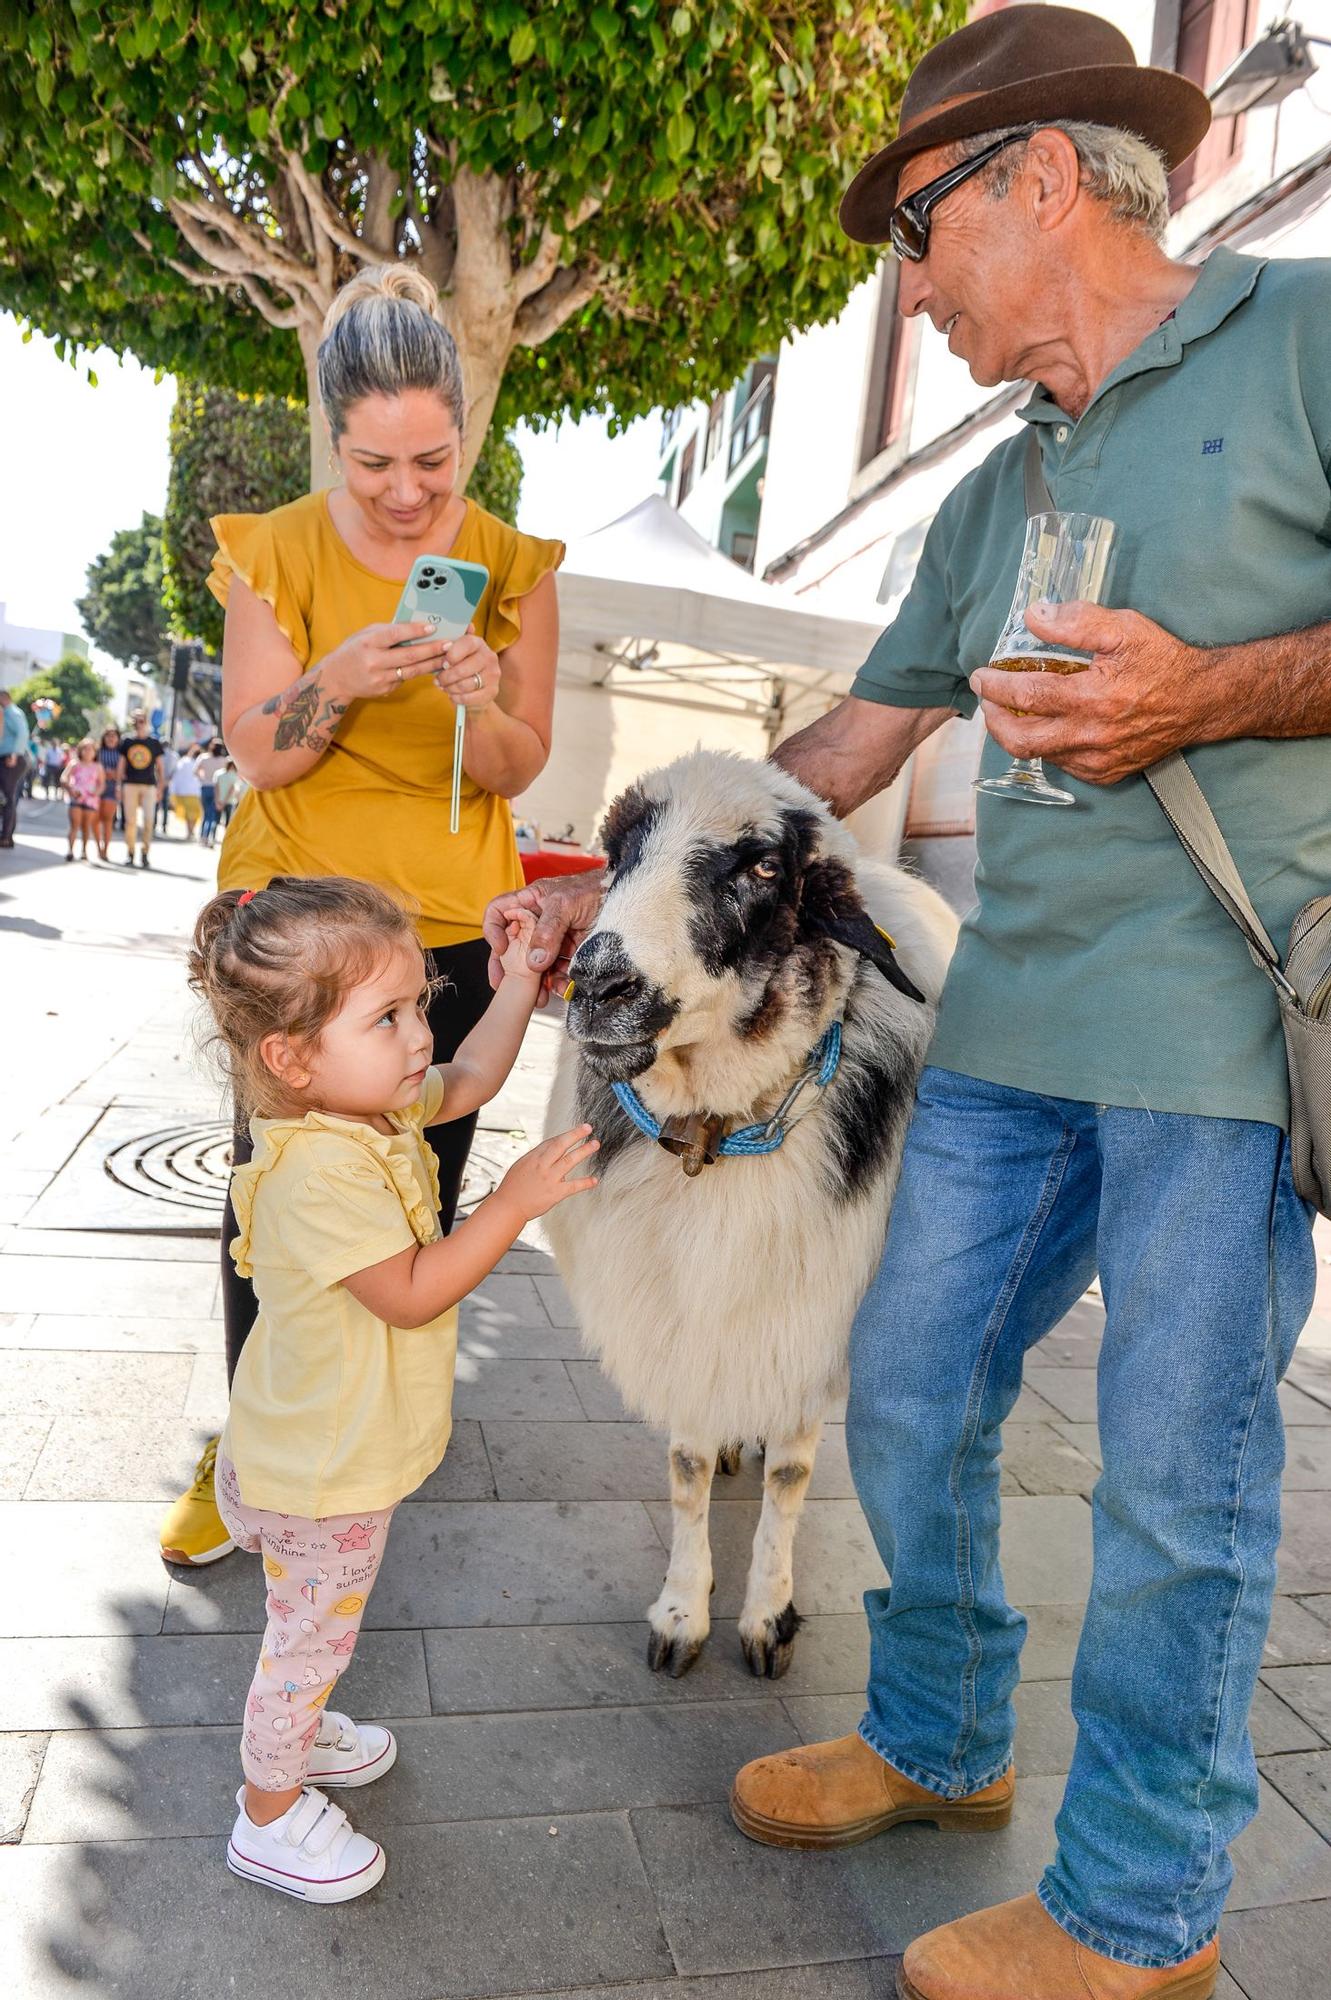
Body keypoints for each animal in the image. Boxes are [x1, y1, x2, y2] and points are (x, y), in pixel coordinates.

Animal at [539, 756, 955, 1680]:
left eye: (763, 867)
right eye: (613, 854)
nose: (598, 987)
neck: (717, 1129)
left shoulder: (815, 1309)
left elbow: (791, 1480)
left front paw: (767, 1617)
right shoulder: (682, 1315)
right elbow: (688, 1463)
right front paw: (681, 1615)